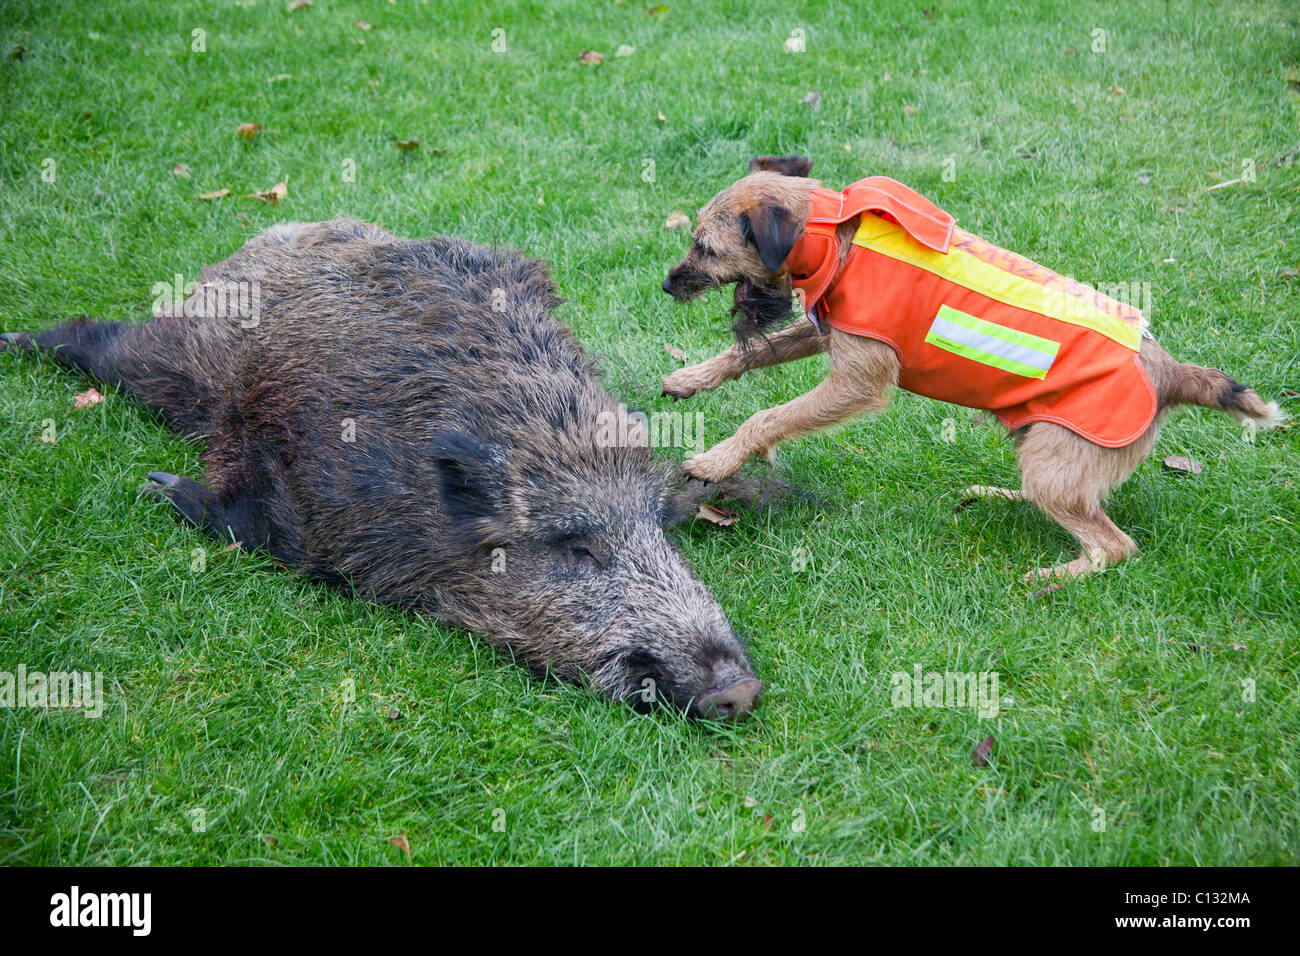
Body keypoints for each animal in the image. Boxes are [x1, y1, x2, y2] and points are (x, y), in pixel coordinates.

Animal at [665, 155, 1284, 582]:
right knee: (1068, 501)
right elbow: (751, 355)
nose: (668, 284)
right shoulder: (826, 336)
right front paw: (690, 380)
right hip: (1042, 445)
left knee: (1113, 545)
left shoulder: (857, 381)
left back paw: (1051, 577)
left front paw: (717, 460)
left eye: (707, 249)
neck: (836, 236)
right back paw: (996, 496)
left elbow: (769, 416)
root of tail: (1168, 373)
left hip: (1054, 459)